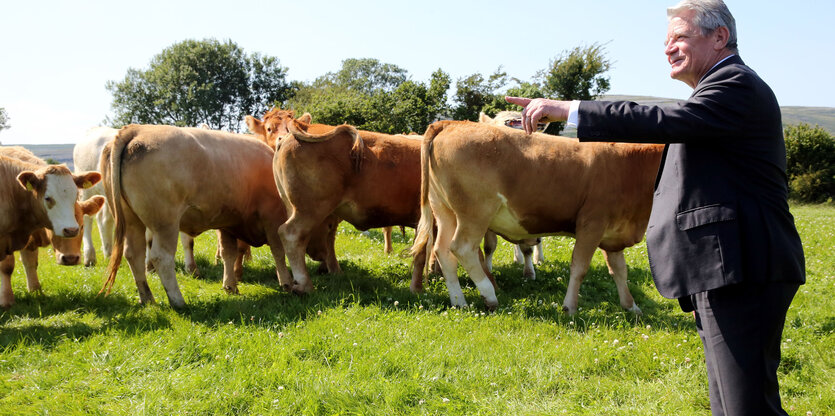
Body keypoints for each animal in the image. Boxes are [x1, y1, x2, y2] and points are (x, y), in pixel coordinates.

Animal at [243, 109, 424, 294]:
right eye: (269, 128)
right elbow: (422, 254)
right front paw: (417, 288)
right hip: (311, 208)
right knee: (290, 234)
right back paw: (304, 285)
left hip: (295, 207)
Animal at [408, 119, 664, 312]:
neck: (627, 165)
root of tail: (451, 123)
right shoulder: (592, 224)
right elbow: (580, 268)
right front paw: (570, 307)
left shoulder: (614, 233)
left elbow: (620, 271)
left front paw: (631, 306)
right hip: (475, 213)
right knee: (461, 249)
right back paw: (489, 295)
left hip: (445, 212)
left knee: (443, 251)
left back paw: (459, 301)